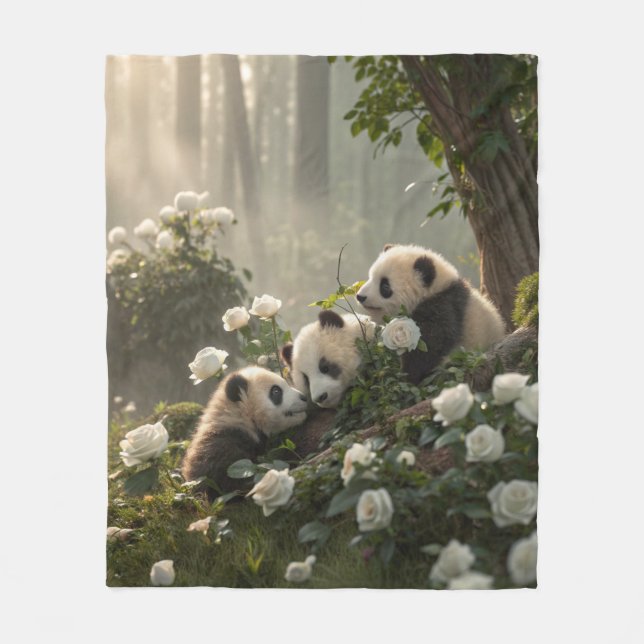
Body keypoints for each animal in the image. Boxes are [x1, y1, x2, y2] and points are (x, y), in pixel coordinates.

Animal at [356, 243, 505, 384]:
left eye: (385, 286)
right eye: (370, 277)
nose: (360, 296)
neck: (434, 290)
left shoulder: (441, 309)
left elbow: (427, 348)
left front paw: (407, 376)